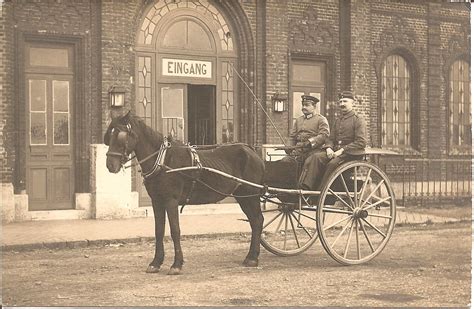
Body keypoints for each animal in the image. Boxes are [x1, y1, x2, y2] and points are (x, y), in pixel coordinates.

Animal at [103, 111, 264, 274]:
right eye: (109, 135)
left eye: (120, 135)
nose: (110, 165)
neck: (163, 160)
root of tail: (250, 150)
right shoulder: (157, 201)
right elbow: (158, 231)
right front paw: (156, 262)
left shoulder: (171, 200)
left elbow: (175, 231)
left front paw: (176, 264)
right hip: (243, 196)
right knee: (254, 221)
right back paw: (251, 256)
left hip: (251, 195)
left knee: (257, 220)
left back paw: (253, 258)